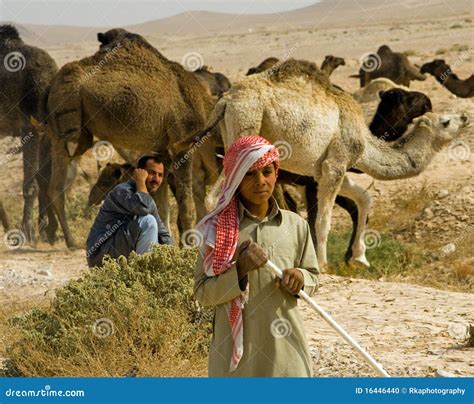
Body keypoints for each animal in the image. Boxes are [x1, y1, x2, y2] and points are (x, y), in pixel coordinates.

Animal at [0, 26, 58, 246]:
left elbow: (43, 179)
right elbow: (31, 184)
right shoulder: (30, 128)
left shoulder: (45, 133)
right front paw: (29, 231)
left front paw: (45, 231)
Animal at [45, 27, 218, 246]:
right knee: (57, 187)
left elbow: (161, 205)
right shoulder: (182, 144)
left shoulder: (162, 152)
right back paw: (71, 242)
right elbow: (186, 206)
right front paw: (189, 246)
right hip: (66, 121)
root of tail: (51, 86)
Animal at [175, 59, 470, 268]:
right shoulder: (335, 165)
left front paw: (360, 257)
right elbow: (322, 220)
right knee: (215, 197)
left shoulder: (326, 171)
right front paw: (324, 264)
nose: (466, 117)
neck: (365, 140)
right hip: (246, 125)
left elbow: (364, 199)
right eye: (446, 121)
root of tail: (225, 101)